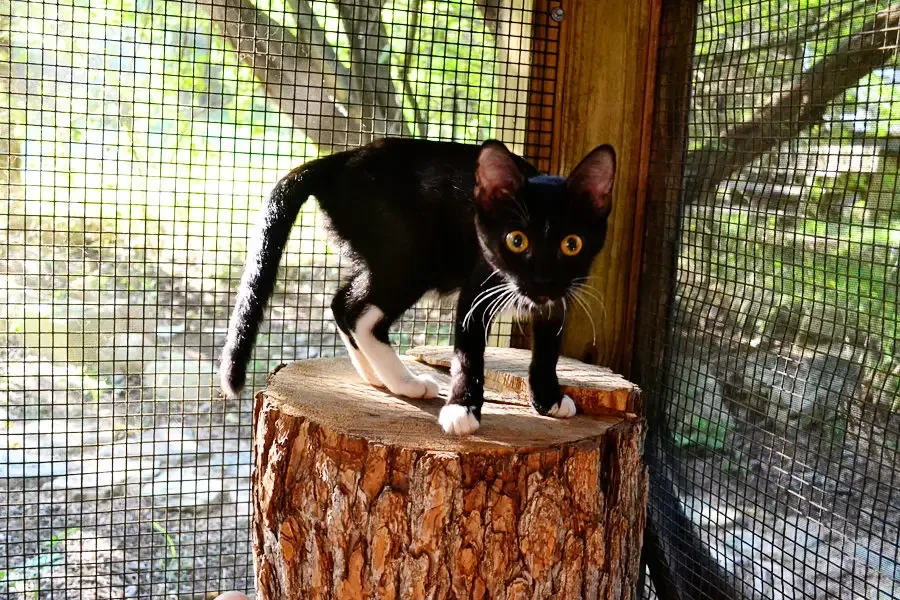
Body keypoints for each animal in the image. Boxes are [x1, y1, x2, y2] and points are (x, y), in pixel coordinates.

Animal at [220, 138, 612, 434]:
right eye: (516, 240)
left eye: (572, 244)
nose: (541, 280)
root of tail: (343, 160)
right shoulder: (479, 286)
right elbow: (468, 354)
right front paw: (462, 409)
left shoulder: (562, 294)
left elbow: (548, 347)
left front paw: (548, 398)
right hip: (412, 258)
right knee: (358, 311)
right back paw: (405, 382)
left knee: (341, 301)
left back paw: (374, 376)